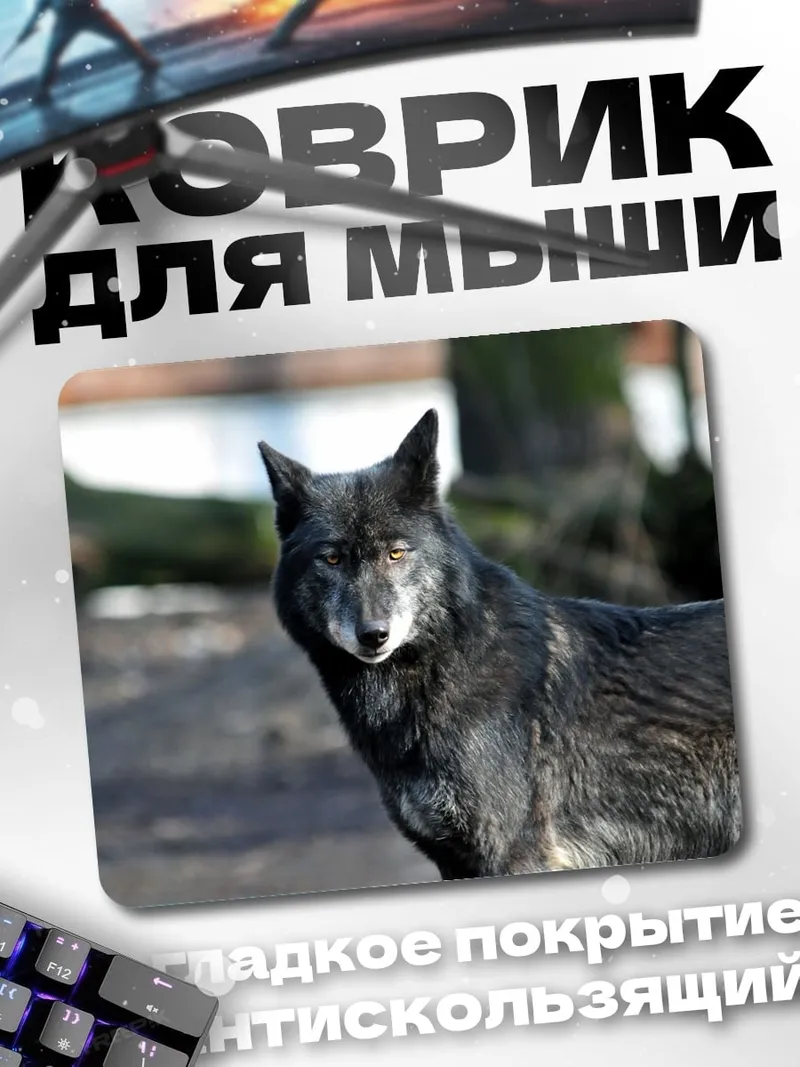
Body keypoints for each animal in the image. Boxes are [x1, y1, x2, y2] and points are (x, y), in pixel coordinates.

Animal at [258, 409, 741, 881]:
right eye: (332, 558)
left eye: (396, 553)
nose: (373, 633)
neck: (442, 665)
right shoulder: (453, 861)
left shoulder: (514, 855)